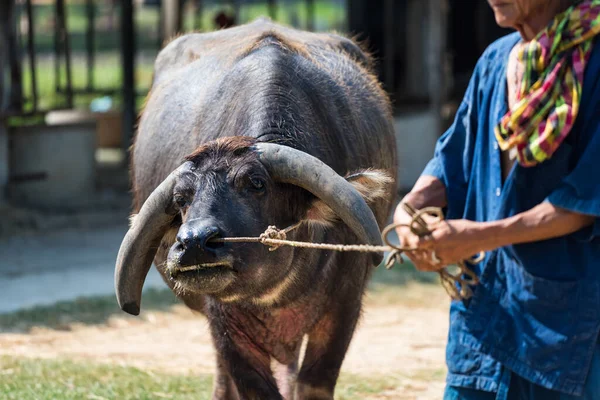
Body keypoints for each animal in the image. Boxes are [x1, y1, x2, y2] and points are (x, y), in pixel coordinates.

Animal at [117, 18, 398, 396]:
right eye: (181, 199)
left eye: (256, 183)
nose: (194, 243)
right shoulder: (225, 324)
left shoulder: (344, 308)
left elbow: (313, 383)